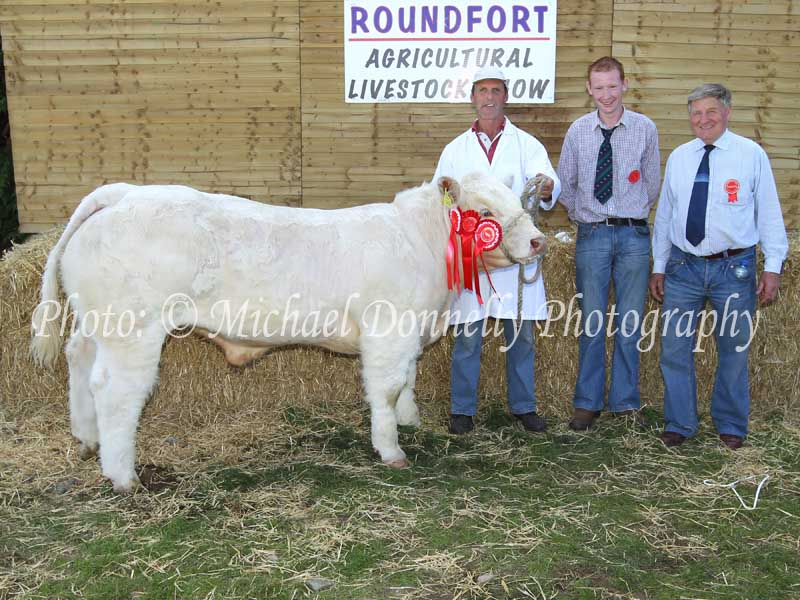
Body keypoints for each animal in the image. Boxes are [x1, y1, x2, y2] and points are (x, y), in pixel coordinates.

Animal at [29, 173, 544, 492]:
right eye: (484, 210)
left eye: (518, 201)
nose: (538, 241)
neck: (421, 241)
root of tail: (123, 193)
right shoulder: (388, 328)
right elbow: (386, 387)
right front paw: (391, 448)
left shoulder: (409, 333)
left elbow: (408, 382)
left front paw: (410, 420)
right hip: (133, 329)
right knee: (115, 391)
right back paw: (122, 475)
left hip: (100, 323)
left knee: (79, 361)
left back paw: (87, 439)